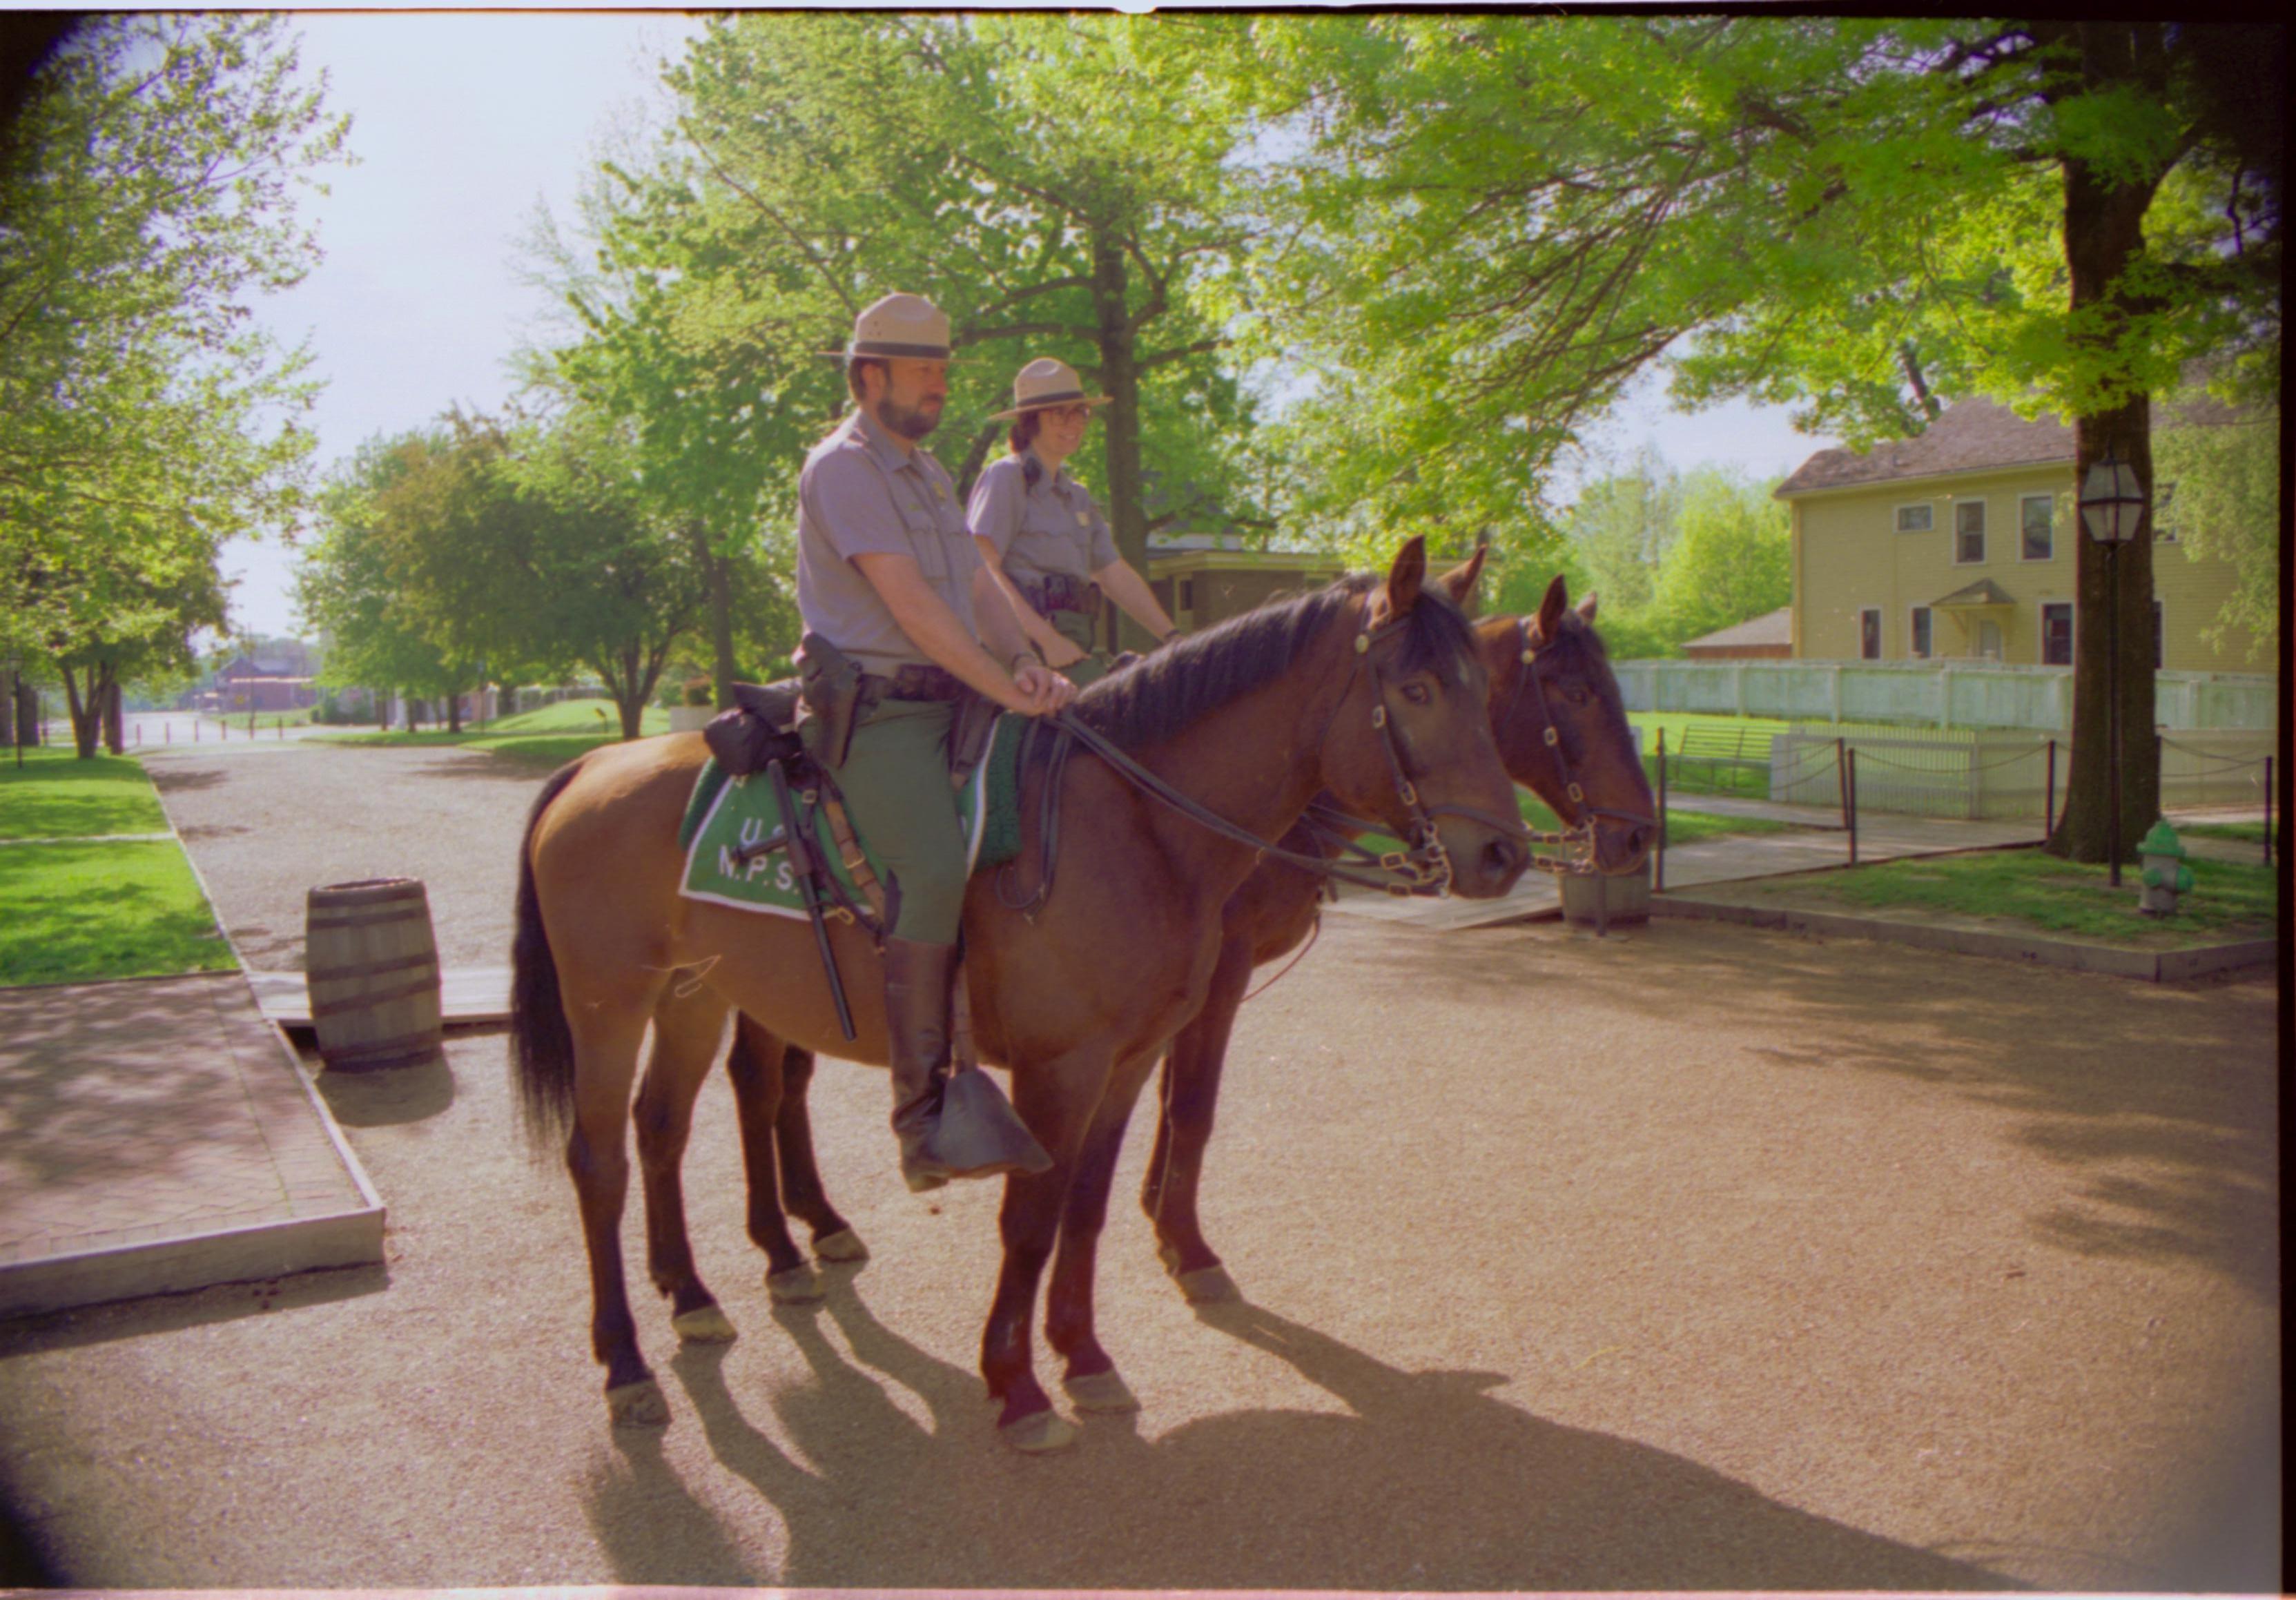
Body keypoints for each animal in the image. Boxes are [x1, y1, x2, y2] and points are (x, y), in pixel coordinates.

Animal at [512, 537, 1533, 1450]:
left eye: (1484, 691)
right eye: (1415, 690)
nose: (1502, 853)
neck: (1133, 822)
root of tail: (594, 764)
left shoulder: (1128, 1060)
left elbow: (1084, 1204)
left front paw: (1082, 1354)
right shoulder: (1058, 1067)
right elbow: (1029, 1219)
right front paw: (1016, 1383)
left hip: (694, 995)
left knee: (663, 1128)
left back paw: (693, 1294)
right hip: (610, 1005)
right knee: (600, 1160)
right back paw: (627, 1365)